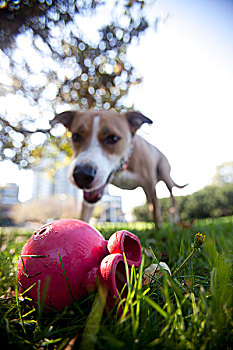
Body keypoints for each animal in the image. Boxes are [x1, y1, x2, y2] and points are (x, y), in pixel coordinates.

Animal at [50, 110, 186, 227]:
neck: (121, 167)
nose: (82, 175)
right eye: (75, 136)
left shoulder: (150, 185)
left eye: (113, 138)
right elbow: (85, 214)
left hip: (165, 175)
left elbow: (156, 210)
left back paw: (174, 220)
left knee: (172, 198)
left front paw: (158, 230)